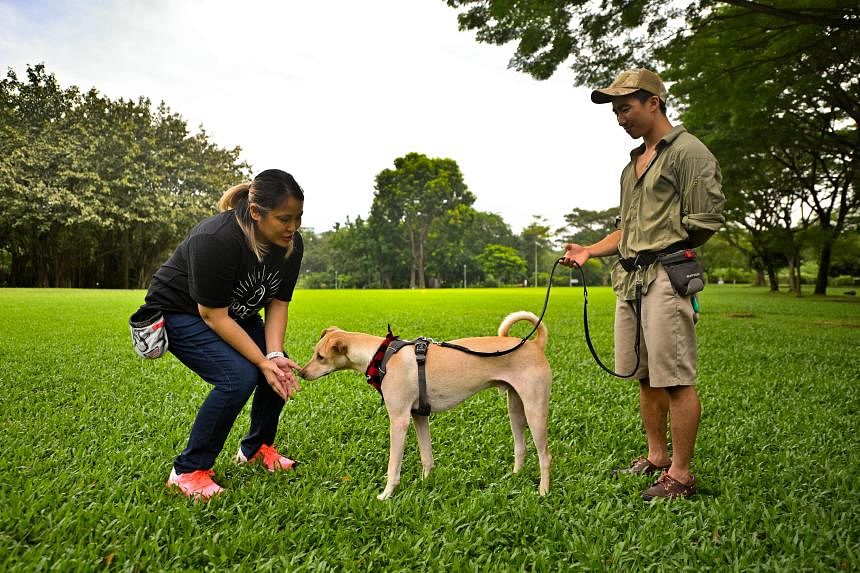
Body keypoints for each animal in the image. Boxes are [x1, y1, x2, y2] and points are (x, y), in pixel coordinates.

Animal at [298, 310, 552, 498]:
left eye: (320, 357)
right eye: (315, 353)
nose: (301, 373)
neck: (381, 356)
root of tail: (534, 344)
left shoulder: (399, 420)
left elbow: (393, 465)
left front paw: (387, 494)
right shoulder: (419, 415)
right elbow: (426, 456)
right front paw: (425, 482)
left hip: (535, 409)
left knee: (545, 456)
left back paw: (543, 491)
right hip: (515, 407)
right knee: (521, 447)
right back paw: (514, 478)